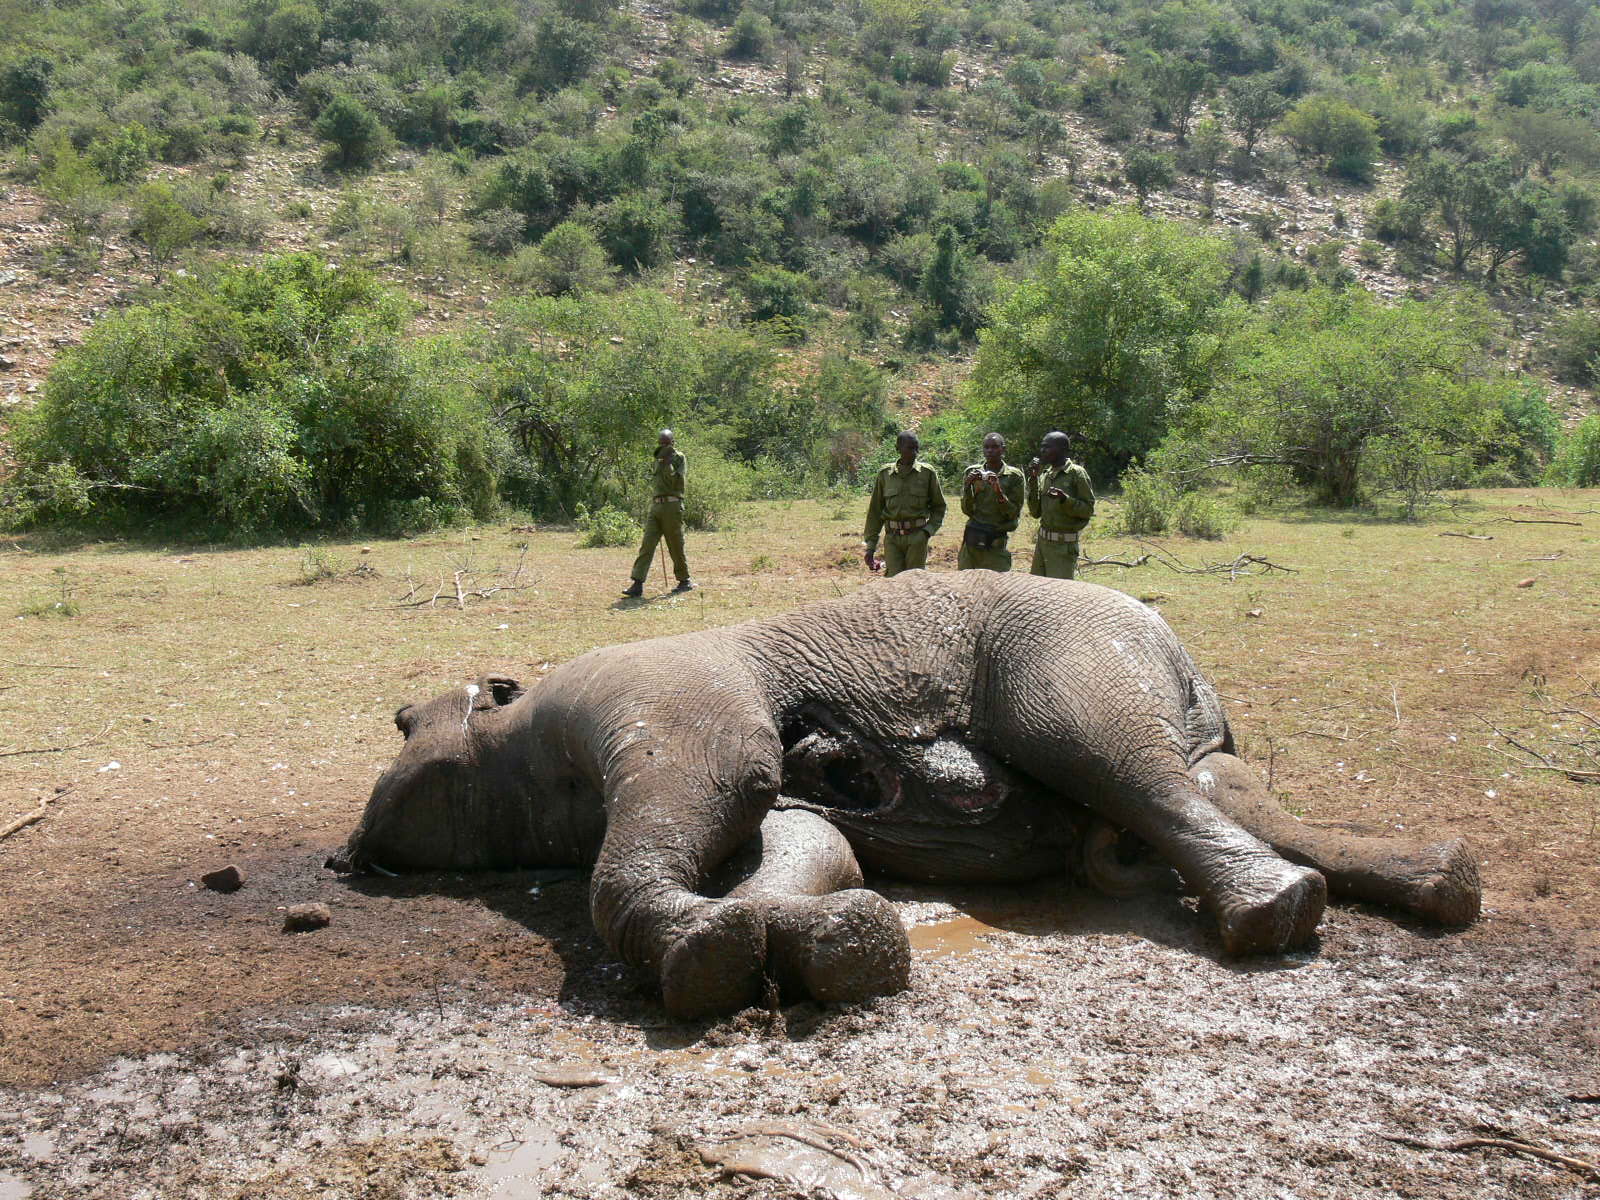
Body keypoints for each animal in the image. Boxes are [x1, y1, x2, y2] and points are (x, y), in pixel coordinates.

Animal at [330, 571, 1480, 1019]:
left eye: (401, 722)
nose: (344, 860)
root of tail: (1173, 645)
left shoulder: (659, 695)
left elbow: (717, 782)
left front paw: (710, 959)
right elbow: (802, 842)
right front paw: (832, 947)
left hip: (1065, 646)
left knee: (1118, 759)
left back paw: (1270, 913)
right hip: (1180, 713)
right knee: (1219, 784)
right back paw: (1437, 882)